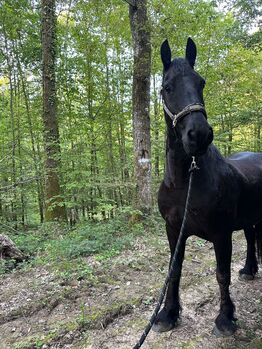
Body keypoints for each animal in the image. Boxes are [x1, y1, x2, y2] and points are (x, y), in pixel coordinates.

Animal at [154, 37, 262, 334]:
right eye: (167, 87)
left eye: (200, 82)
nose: (199, 134)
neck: (184, 183)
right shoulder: (173, 230)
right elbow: (174, 270)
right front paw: (167, 314)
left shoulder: (221, 233)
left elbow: (222, 274)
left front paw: (225, 318)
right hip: (248, 219)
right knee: (252, 238)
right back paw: (249, 270)